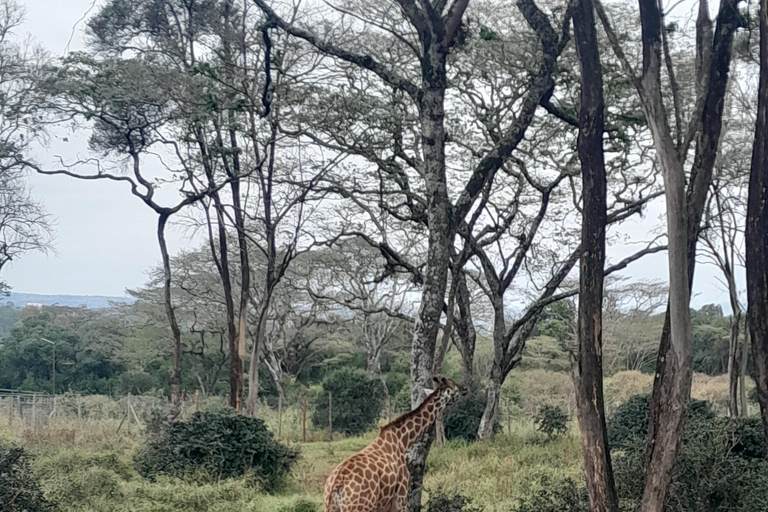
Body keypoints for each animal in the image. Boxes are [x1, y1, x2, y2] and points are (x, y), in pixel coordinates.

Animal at [322, 376, 464, 512]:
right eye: (456, 390)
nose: (465, 390)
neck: (402, 441)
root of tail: (337, 483)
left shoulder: (383, 506)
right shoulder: (400, 499)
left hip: (331, 506)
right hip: (359, 507)